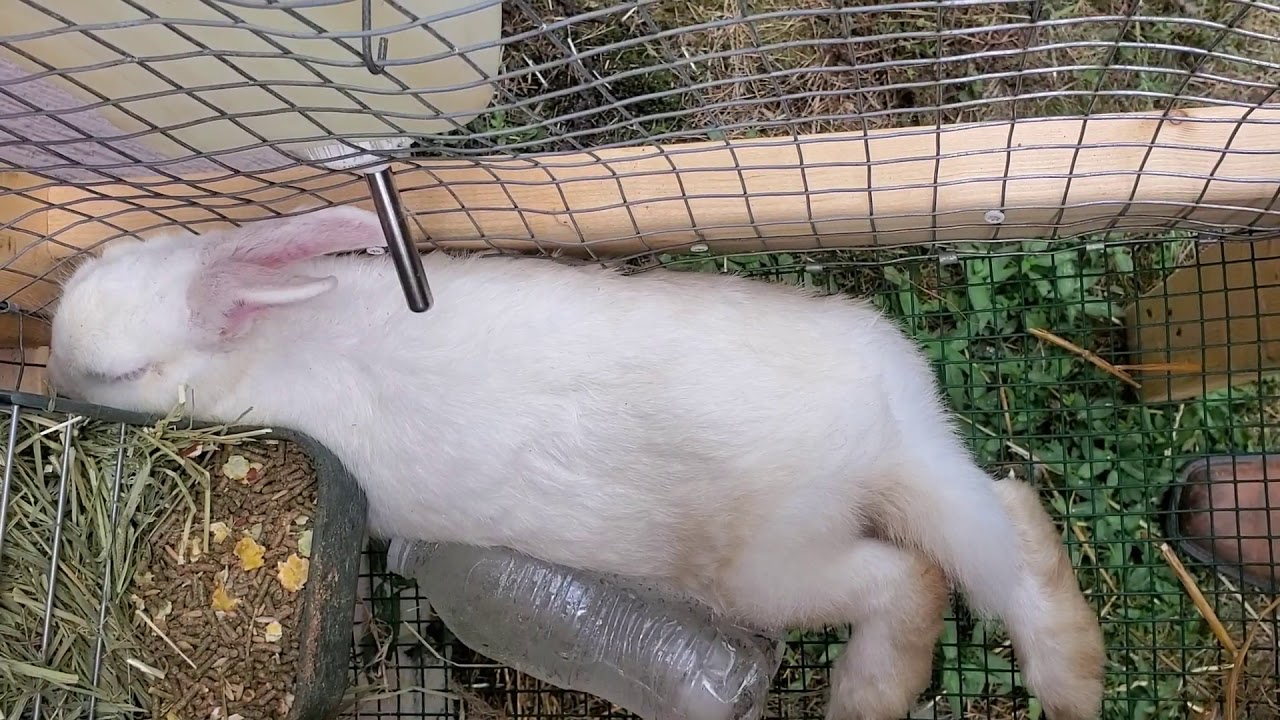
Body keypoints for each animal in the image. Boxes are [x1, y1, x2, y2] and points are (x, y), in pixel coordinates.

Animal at [47, 205, 1104, 720]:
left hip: (772, 568)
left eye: (117, 372)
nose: (47, 366)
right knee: (1009, 521)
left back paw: (863, 700)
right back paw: (1074, 685)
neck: (268, 348)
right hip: (931, 467)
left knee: (911, 581)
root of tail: (878, 437)